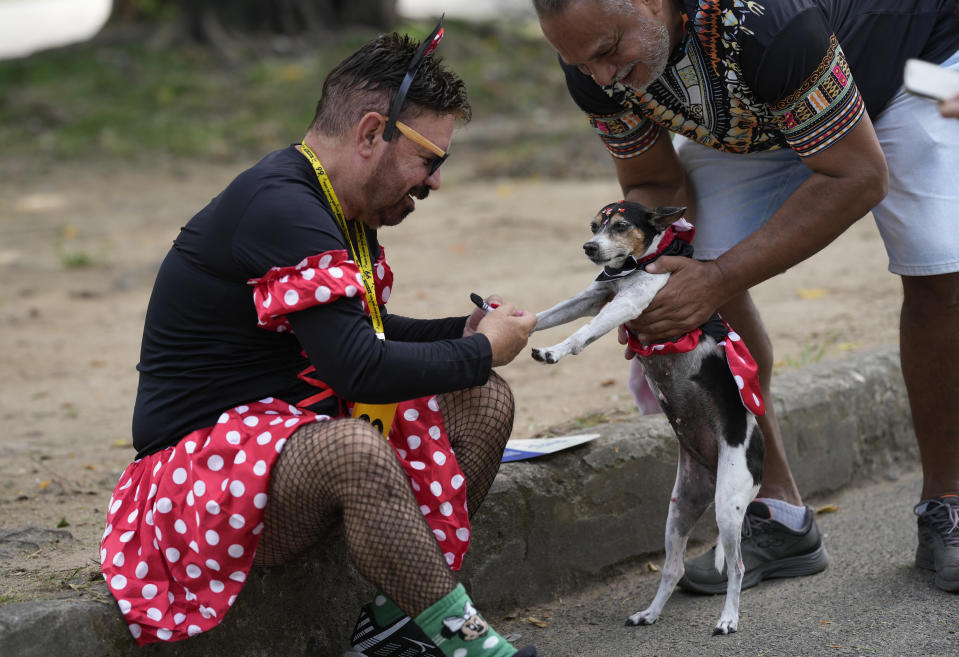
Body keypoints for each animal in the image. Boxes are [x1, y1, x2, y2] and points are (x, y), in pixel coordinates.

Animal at [532, 201, 764, 636]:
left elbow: (582, 334)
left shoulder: (626, 305)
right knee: (673, 569)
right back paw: (650, 613)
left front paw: (555, 351)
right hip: (679, 511)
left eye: (621, 225)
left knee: (738, 567)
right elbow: (546, 314)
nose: (589, 247)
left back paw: (728, 618)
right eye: (594, 225)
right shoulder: (594, 294)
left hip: (727, 507)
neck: (636, 267)